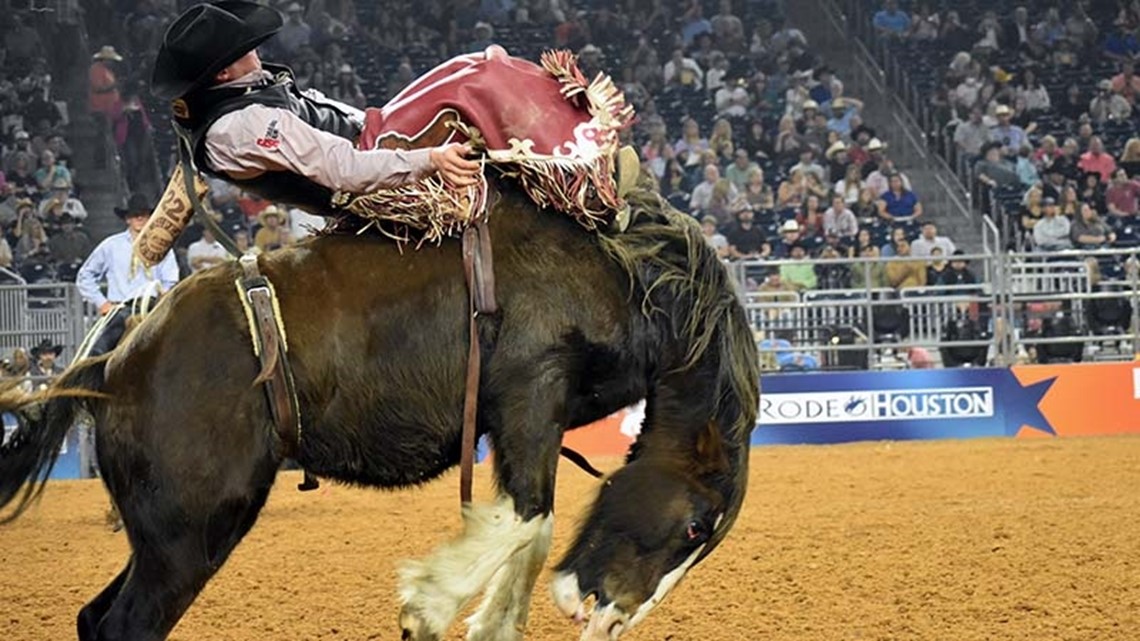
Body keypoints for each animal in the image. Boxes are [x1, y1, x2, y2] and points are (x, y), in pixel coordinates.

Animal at [2, 184, 766, 638]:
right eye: (694, 525)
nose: (607, 615)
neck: (623, 272)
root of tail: (116, 363)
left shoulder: (524, 420)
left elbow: (531, 527)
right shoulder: (531, 391)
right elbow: (528, 517)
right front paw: (429, 605)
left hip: (174, 537)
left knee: (96, 617)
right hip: (188, 538)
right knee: (126, 625)